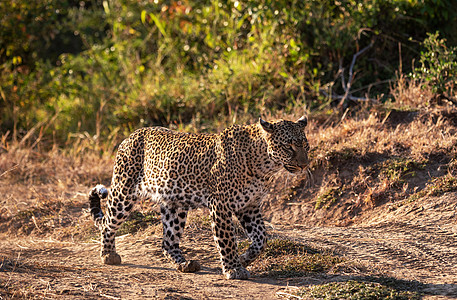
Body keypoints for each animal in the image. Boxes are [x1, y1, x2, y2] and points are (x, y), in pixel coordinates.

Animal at [88, 116, 310, 280]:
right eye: (288, 146)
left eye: (305, 146)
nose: (304, 165)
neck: (263, 166)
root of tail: (131, 135)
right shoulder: (221, 205)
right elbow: (227, 240)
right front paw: (233, 268)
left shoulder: (250, 206)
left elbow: (261, 238)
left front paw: (244, 259)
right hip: (123, 191)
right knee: (108, 224)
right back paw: (108, 255)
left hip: (175, 205)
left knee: (168, 242)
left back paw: (185, 264)